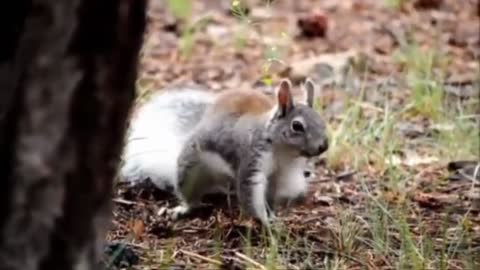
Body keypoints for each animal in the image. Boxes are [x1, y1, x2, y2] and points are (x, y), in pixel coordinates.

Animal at [121, 78, 330, 226]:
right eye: (297, 126)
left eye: (322, 121)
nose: (324, 146)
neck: (282, 152)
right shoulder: (251, 159)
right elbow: (251, 194)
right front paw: (265, 222)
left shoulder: (281, 174)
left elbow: (270, 196)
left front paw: (272, 214)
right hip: (190, 170)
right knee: (191, 196)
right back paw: (184, 208)